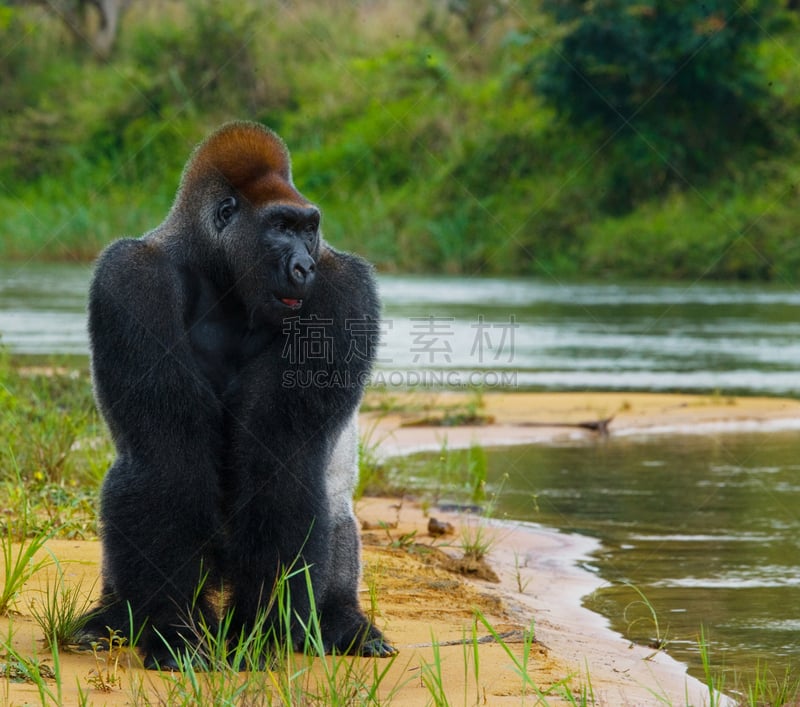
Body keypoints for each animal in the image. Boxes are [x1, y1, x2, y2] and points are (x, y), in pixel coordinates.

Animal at [81, 120, 394, 668]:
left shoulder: (343, 288)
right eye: (281, 227)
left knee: (333, 514)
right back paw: (112, 619)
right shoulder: (130, 277)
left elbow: (283, 460)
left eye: (308, 229)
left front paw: (262, 629)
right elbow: (168, 457)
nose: (303, 268)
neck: (218, 272)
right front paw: (175, 630)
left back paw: (342, 620)